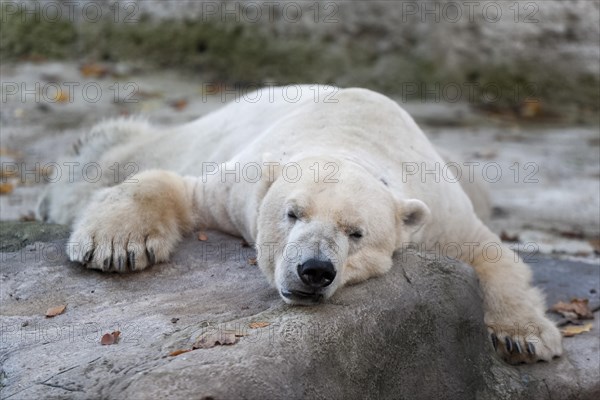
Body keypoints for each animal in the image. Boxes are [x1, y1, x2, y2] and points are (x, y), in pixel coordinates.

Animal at [38, 85, 564, 366]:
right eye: (291, 214)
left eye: (356, 233)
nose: (314, 270)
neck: (348, 138)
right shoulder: (238, 188)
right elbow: (174, 186)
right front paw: (114, 245)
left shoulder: (434, 204)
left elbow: (489, 252)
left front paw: (524, 337)